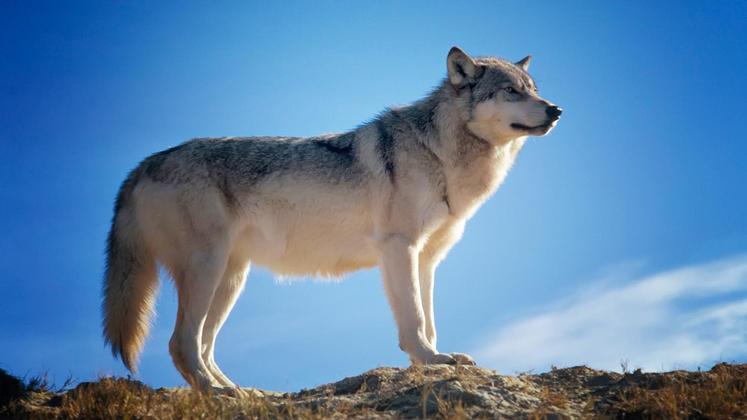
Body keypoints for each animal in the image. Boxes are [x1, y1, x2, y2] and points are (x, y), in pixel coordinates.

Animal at [102, 46, 564, 394]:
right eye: (510, 91)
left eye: (533, 90)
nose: (556, 110)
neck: (438, 153)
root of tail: (141, 166)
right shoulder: (399, 248)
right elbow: (414, 319)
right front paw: (430, 361)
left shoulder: (427, 259)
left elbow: (430, 321)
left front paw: (433, 360)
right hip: (207, 270)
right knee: (181, 343)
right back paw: (216, 393)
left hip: (231, 280)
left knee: (203, 345)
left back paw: (240, 392)